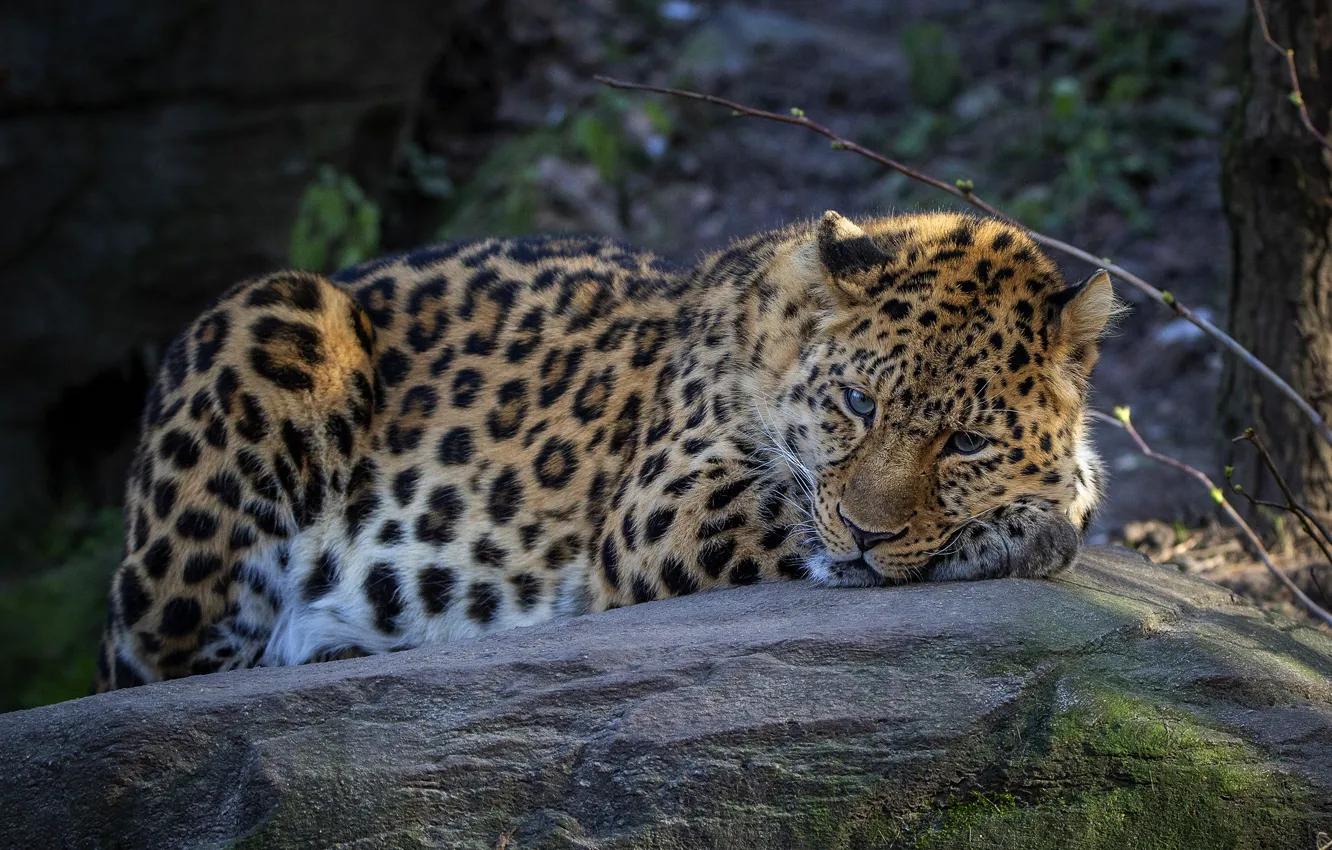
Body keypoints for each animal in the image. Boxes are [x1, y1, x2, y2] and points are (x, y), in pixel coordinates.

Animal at [93, 210, 1118, 691]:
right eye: (858, 403)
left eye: (968, 439)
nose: (869, 533)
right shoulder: (666, 502)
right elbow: (796, 510)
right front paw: (1018, 534)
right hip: (275, 321)